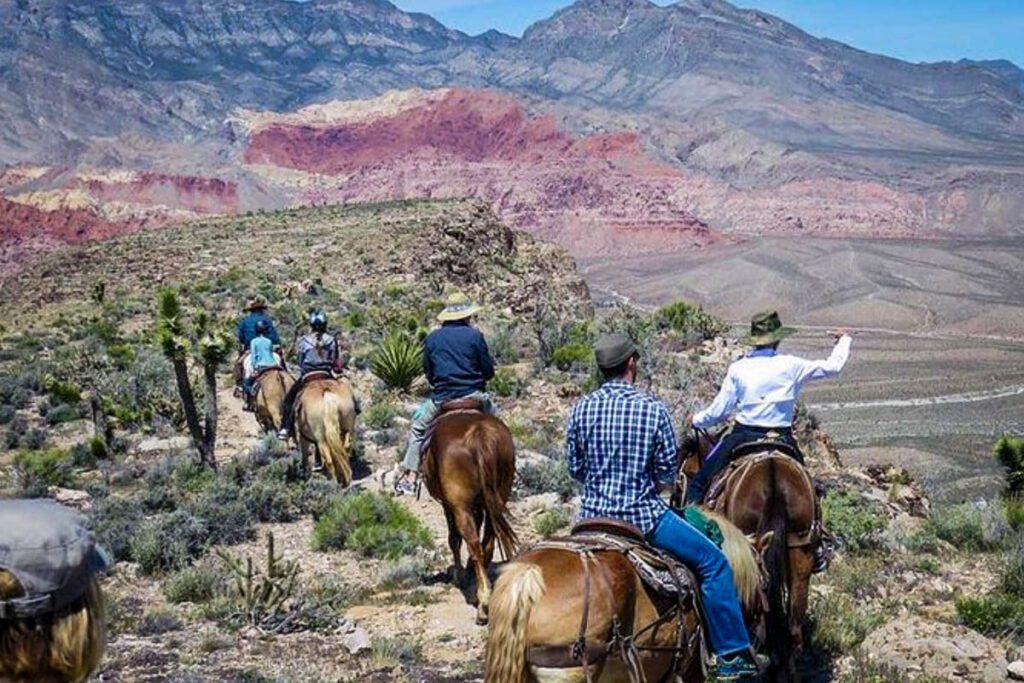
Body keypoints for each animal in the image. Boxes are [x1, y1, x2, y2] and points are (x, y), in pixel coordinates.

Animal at [421, 405, 520, 626]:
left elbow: (454, 539)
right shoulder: (480, 505)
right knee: (488, 542)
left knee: (473, 543)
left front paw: (459, 574)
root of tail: (479, 434)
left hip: (461, 506)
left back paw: (483, 605)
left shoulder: (449, 505)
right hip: (498, 497)